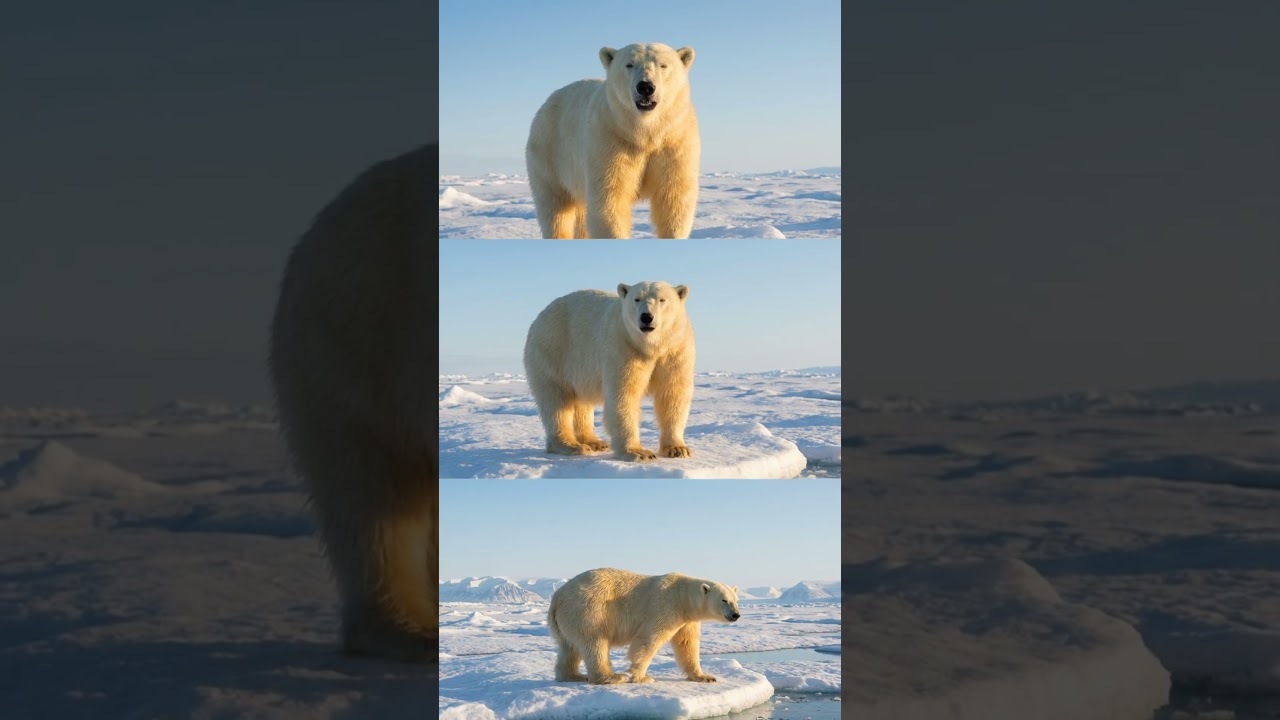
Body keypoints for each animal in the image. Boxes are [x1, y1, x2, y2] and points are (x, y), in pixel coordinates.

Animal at [523, 281, 695, 462]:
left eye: (662, 299)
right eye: (636, 299)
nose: (646, 317)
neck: (651, 347)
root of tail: (539, 317)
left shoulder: (675, 351)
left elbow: (673, 394)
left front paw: (677, 449)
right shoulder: (624, 347)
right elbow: (624, 395)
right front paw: (638, 452)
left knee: (581, 401)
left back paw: (594, 442)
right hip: (553, 351)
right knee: (556, 400)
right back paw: (571, 445)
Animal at [526, 43, 700, 239]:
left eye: (663, 65)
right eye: (629, 64)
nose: (645, 87)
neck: (644, 133)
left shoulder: (673, 143)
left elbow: (673, 200)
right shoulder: (611, 141)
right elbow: (610, 200)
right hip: (549, 154)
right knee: (555, 209)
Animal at [548, 568, 741, 684]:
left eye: (735, 600)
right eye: (724, 600)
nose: (736, 615)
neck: (682, 597)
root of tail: (557, 597)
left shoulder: (687, 620)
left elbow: (687, 645)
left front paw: (705, 677)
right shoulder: (665, 607)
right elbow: (649, 640)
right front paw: (642, 677)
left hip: (567, 619)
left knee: (569, 647)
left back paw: (573, 675)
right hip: (590, 610)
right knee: (595, 643)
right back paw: (612, 677)